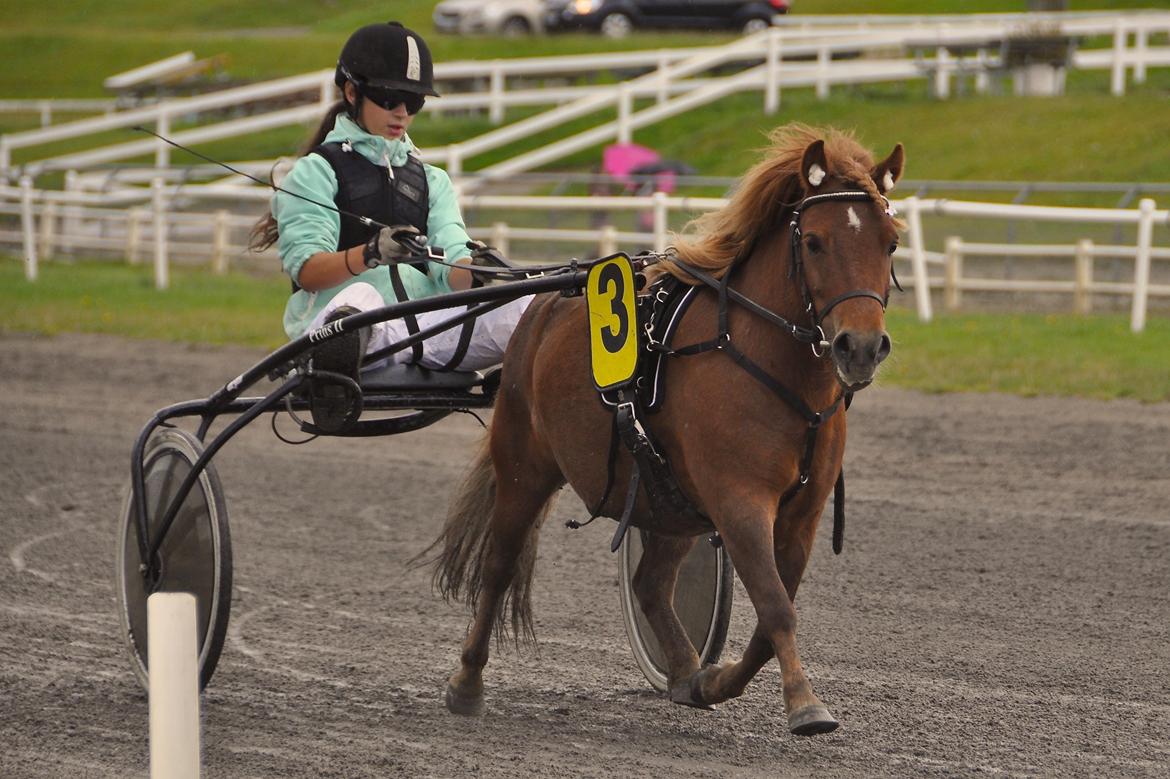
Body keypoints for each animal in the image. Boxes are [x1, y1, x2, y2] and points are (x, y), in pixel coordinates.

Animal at [428, 125, 903, 734]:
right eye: (816, 242)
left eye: (890, 243)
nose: (860, 347)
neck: (764, 361)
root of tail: (541, 301)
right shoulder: (739, 499)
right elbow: (775, 605)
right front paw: (804, 704)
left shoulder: (802, 512)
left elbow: (769, 617)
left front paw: (713, 679)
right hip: (524, 463)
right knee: (498, 565)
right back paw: (467, 680)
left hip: (668, 499)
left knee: (650, 582)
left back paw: (683, 671)